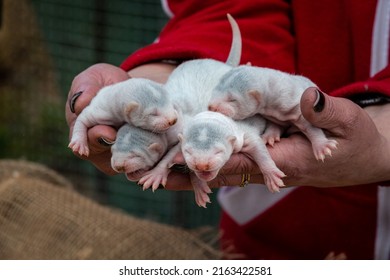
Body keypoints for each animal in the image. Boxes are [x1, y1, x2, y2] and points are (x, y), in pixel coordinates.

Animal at [207, 65, 338, 161]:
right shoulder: (273, 114)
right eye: (216, 88)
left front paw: (322, 147)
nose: (210, 106)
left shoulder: (297, 104)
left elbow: (310, 126)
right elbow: (274, 124)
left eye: (232, 100)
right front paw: (269, 136)